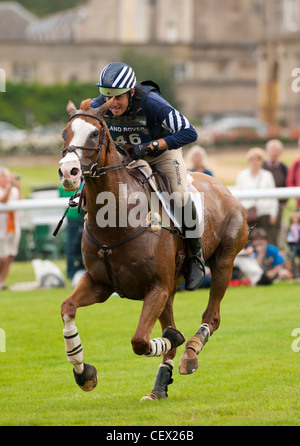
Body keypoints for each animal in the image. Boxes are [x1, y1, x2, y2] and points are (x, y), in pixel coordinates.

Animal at [58, 99, 248, 402]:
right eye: (65, 133)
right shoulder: (99, 284)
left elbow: (140, 341)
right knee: (171, 330)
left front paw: (177, 340)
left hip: (223, 263)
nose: (68, 172)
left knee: (211, 318)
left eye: (94, 134)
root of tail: (225, 190)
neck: (116, 221)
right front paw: (83, 371)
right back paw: (159, 387)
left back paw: (191, 350)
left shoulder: (156, 287)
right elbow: (67, 308)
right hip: (171, 289)